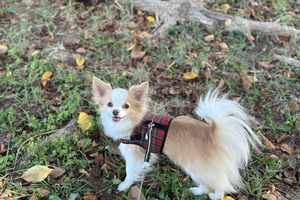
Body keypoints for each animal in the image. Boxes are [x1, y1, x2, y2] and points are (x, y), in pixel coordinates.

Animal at [92, 76, 262, 198]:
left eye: (126, 106)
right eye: (109, 104)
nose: (115, 111)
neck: (135, 123)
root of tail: (212, 132)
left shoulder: (135, 157)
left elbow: (130, 172)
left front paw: (125, 185)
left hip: (195, 168)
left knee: (219, 185)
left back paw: (213, 195)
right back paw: (196, 192)